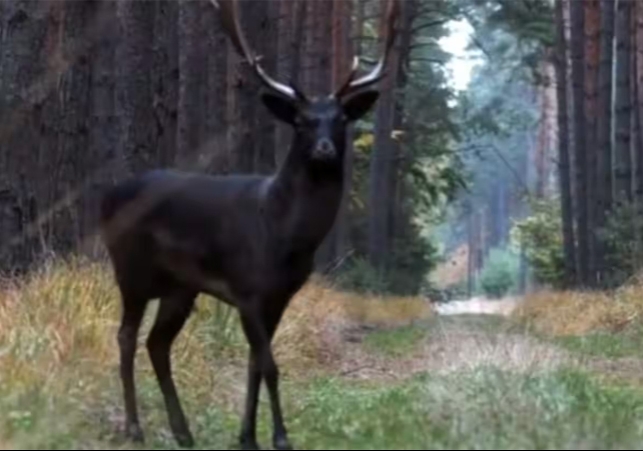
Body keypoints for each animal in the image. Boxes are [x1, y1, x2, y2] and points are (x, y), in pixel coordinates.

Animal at [98, 0, 400, 448]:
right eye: (302, 121)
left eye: (341, 119)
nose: (324, 150)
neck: (281, 233)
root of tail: (106, 199)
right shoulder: (247, 289)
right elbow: (270, 365)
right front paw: (279, 437)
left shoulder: (280, 296)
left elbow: (256, 364)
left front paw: (247, 436)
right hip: (130, 270)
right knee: (126, 336)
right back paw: (135, 428)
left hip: (180, 287)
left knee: (157, 343)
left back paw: (183, 431)